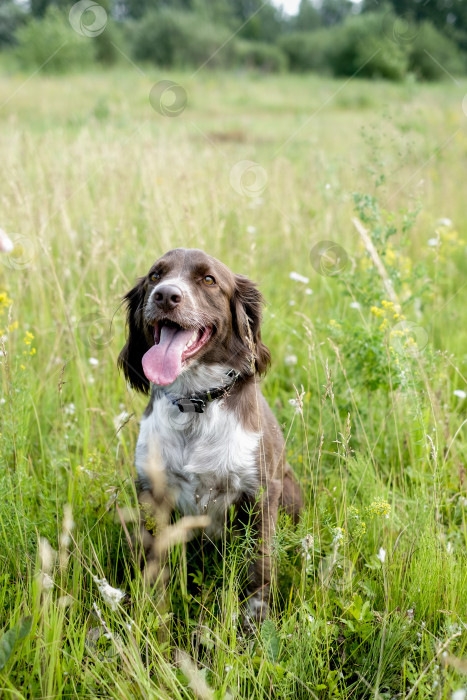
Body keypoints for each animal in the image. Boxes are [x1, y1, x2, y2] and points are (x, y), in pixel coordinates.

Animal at [119, 249, 304, 620]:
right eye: (155, 275)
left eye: (208, 280)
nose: (165, 295)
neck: (194, 405)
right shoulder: (151, 491)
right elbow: (154, 563)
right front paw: (151, 612)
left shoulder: (261, 492)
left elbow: (259, 564)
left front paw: (255, 621)